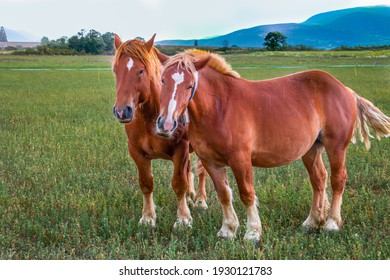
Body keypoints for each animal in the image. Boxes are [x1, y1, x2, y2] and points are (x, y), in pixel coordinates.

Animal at [112, 36, 207, 230]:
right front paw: (148, 217)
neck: (150, 118)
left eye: (141, 71)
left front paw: (183, 219)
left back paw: (200, 200)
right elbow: (146, 182)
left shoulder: (181, 148)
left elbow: (179, 182)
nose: (122, 111)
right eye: (115, 70)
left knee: (201, 171)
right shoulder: (136, 151)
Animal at [155, 49, 390, 242]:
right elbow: (224, 194)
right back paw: (312, 222)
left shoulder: (240, 159)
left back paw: (331, 224)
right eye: (162, 81)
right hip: (311, 150)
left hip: (336, 147)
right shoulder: (210, 161)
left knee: (337, 180)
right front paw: (228, 230)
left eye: (189, 85)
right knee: (319, 180)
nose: (165, 124)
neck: (219, 106)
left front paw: (252, 232)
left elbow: (246, 193)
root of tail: (344, 89)